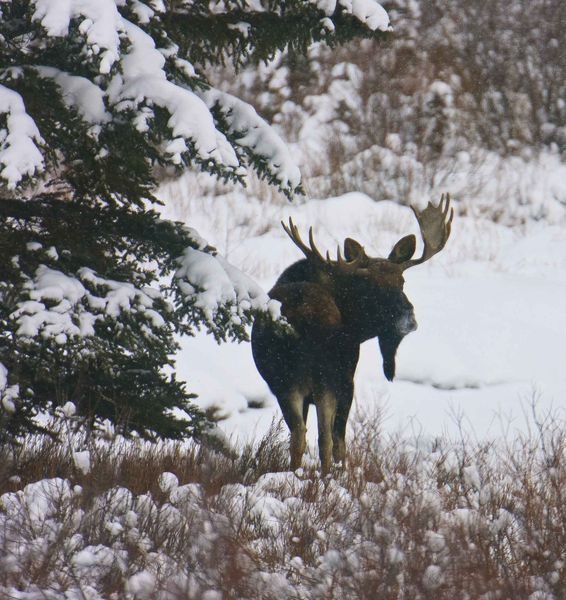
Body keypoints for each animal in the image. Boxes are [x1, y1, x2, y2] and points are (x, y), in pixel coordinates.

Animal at [251, 196, 454, 474]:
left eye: (402, 281)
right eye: (371, 287)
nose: (409, 318)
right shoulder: (347, 379)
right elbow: (339, 440)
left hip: (284, 380)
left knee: (299, 435)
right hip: (327, 377)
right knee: (326, 437)